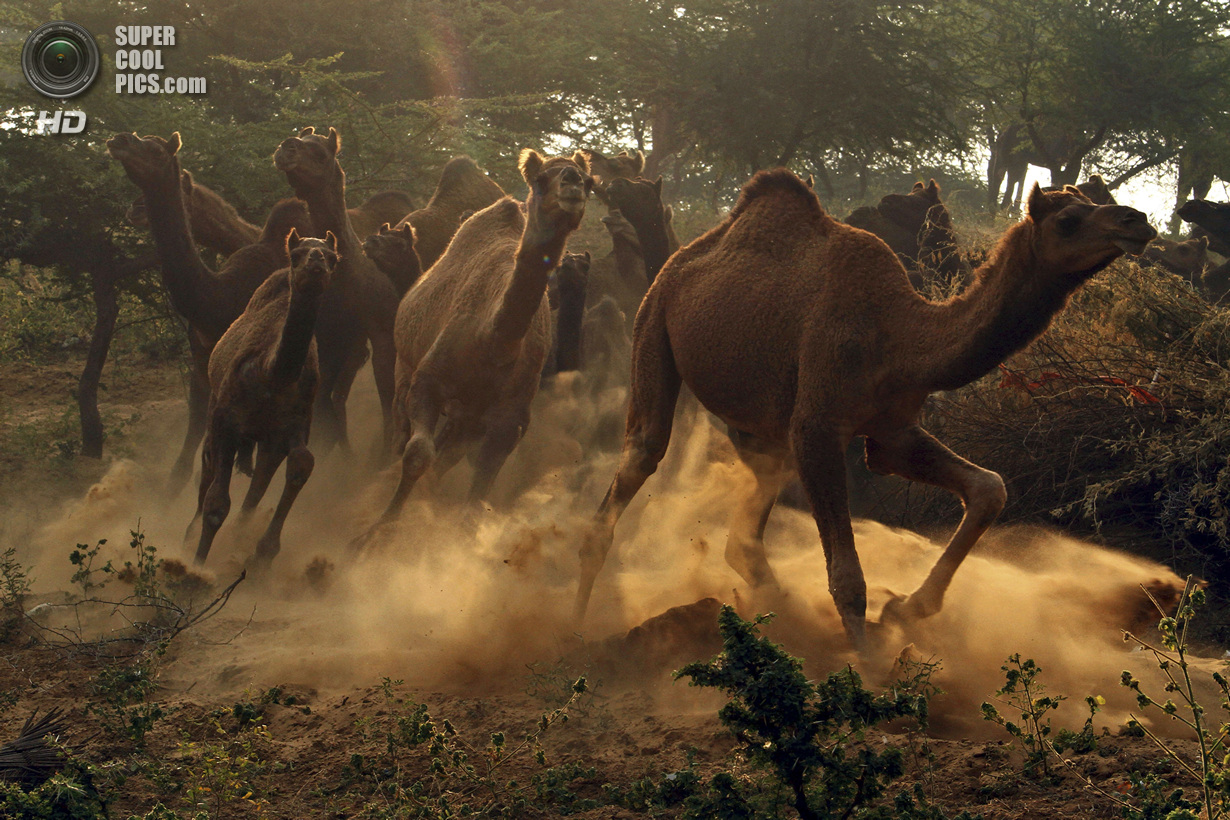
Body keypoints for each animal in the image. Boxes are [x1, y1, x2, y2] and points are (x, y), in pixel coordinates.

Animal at [185, 227, 337, 567]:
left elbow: (302, 463)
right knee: (208, 467)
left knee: (256, 489)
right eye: (296, 255)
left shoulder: (290, 427)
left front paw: (264, 551)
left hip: (265, 441)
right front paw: (195, 567)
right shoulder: (226, 422)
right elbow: (216, 504)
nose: (316, 261)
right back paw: (189, 538)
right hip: (216, 410)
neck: (273, 376)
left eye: (333, 257)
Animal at [274, 125, 398, 452]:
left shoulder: (379, 329)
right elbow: (325, 399)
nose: (286, 148)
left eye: (320, 152)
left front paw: (384, 452)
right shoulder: (330, 334)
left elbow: (386, 393)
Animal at [359, 146, 592, 533]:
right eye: (541, 179)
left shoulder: (509, 422)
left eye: (589, 181)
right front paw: (373, 535)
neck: (493, 341)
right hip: (404, 367)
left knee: (444, 455)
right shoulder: (426, 383)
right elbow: (417, 455)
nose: (572, 183)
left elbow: (476, 496)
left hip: (468, 415)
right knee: (402, 434)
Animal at [575, 169, 1151, 649]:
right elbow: (847, 575)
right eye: (1069, 220)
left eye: (1093, 202)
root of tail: (683, 256)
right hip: (652, 323)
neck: (901, 336)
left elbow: (990, 487)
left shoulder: (890, 429)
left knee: (750, 515)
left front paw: (908, 609)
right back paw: (577, 619)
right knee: (644, 451)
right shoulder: (819, 425)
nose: (1137, 220)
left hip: (757, 412)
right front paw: (874, 674)